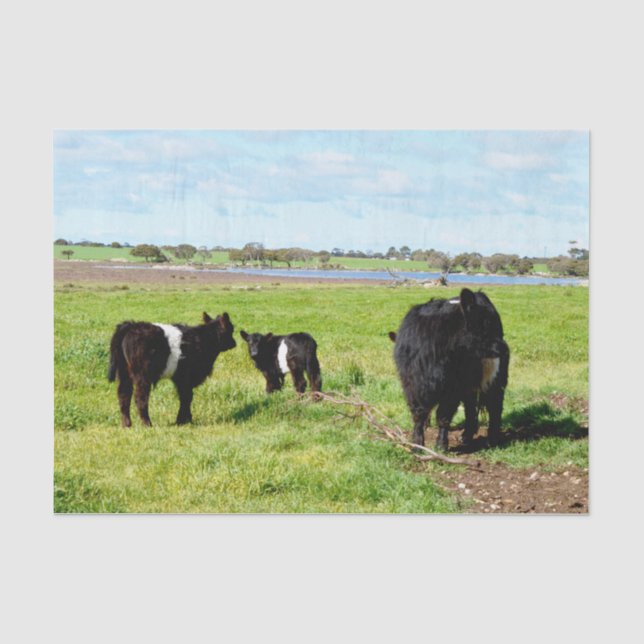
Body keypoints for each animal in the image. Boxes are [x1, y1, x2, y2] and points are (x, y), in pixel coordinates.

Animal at [108, 311, 236, 427]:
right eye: (231, 329)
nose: (234, 343)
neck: (204, 340)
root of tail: (130, 326)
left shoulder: (180, 379)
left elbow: (185, 398)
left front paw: (185, 419)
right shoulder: (185, 378)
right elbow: (187, 397)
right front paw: (183, 420)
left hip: (124, 373)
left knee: (123, 395)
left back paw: (127, 424)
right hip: (142, 375)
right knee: (140, 398)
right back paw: (147, 424)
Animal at [390, 288, 509, 450]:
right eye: (487, 323)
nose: (504, 348)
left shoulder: (452, 389)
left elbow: (443, 415)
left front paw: (441, 445)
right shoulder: (412, 385)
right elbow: (418, 414)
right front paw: (417, 444)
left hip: (496, 380)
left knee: (494, 406)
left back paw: (492, 439)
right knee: (471, 406)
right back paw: (466, 436)